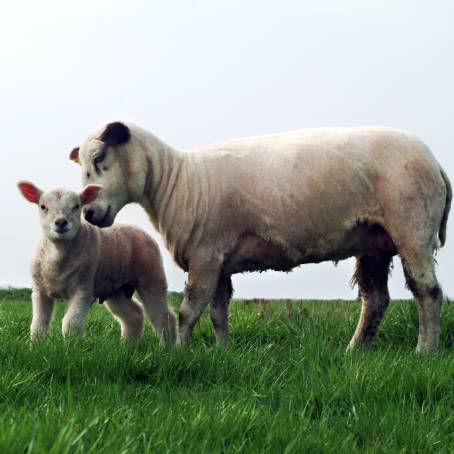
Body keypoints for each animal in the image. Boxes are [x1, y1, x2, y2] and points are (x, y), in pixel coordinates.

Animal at [16, 181, 176, 344]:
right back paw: (127, 345)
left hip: (151, 276)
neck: (58, 254)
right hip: (116, 289)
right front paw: (36, 345)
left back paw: (166, 346)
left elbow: (71, 323)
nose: (61, 222)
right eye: (43, 207)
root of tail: (137, 228)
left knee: (163, 316)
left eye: (77, 206)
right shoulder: (39, 290)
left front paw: (70, 346)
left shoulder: (83, 288)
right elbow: (38, 324)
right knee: (133, 315)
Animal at [70, 122, 450, 352]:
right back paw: (356, 350)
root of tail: (434, 162)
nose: (89, 215)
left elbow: (189, 311)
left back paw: (424, 351)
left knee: (427, 292)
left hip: (412, 227)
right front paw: (222, 351)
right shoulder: (219, 258)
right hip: (374, 240)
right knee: (376, 299)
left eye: (100, 158)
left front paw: (180, 351)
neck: (177, 182)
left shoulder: (205, 255)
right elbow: (218, 312)